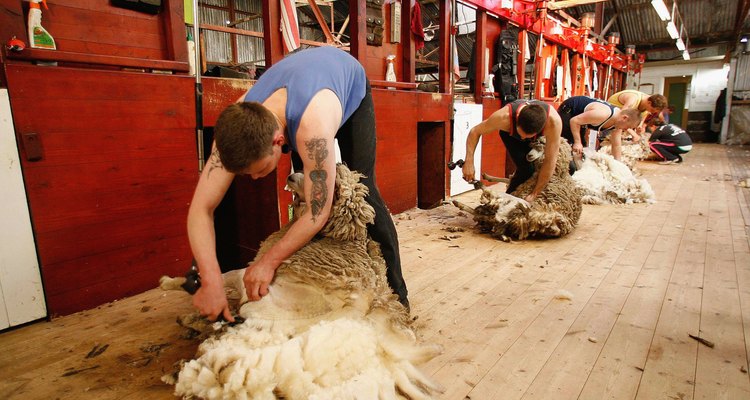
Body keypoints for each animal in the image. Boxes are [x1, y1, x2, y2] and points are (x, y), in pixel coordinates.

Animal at [159, 163, 440, 400]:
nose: (291, 177)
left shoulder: (251, 277)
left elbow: (222, 278)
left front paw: (171, 282)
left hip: (257, 296)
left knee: (233, 293)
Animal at [456, 137, 584, 241]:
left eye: (542, 145)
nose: (529, 155)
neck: (557, 175)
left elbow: (508, 181)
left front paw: (483, 179)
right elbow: (508, 179)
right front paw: (488, 176)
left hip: (512, 205)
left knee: (491, 206)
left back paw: (468, 195)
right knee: (486, 216)